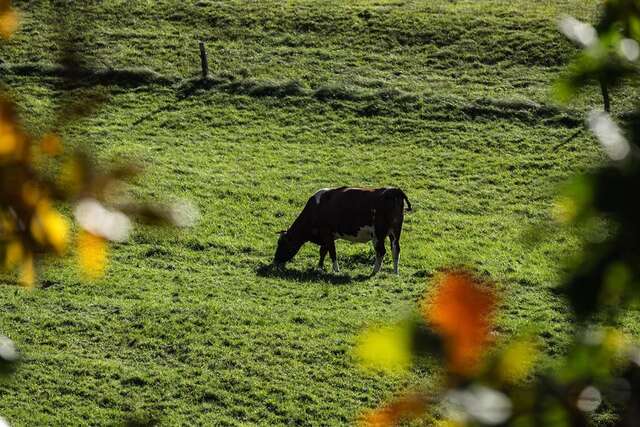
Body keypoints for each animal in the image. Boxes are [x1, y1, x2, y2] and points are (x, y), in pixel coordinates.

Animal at [272, 188, 412, 276]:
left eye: (281, 244)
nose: (275, 261)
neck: (316, 208)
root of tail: (394, 190)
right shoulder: (327, 236)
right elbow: (323, 251)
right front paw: (319, 267)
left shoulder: (326, 233)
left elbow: (332, 252)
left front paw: (336, 270)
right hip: (395, 233)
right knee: (395, 250)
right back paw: (395, 273)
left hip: (378, 235)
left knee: (381, 252)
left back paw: (373, 272)